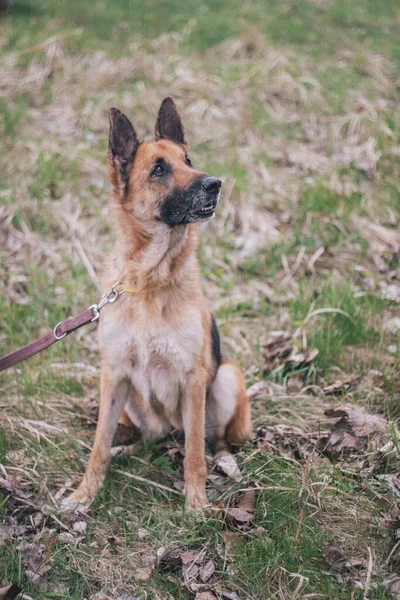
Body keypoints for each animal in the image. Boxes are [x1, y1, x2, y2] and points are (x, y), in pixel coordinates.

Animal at [61, 98, 250, 510]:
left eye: (189, 160)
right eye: (159, 169)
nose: (215, 184)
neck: (150, 281)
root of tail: (169, 431)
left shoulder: (194, 379)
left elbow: (195, 452)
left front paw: (196, 502)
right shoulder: (114, 373)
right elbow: (99, 443)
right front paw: (85, 494)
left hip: (226, 377)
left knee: (213, 440)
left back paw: (224, 461)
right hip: (130, 402)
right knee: (149, 438)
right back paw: (128, 452)